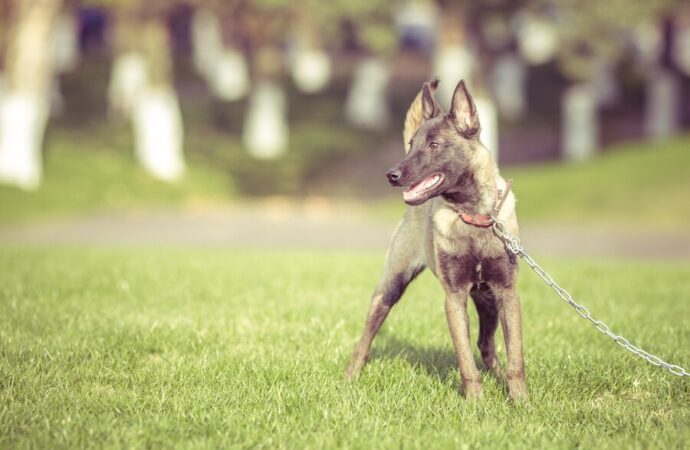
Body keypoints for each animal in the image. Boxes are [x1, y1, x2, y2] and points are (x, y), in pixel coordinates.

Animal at [344, 79, 528, 400]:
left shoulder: (506, 292)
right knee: (365, 340)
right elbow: (465, 358)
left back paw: (498, 377)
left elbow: (514, 357)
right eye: (411, 145)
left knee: (486, 344)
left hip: (488, 301)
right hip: (389, 287)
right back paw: (349, 378)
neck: (474, 217)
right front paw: (476, 402)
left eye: (434, 145)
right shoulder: (454, 297)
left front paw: (520, 401)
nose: (391, 175)